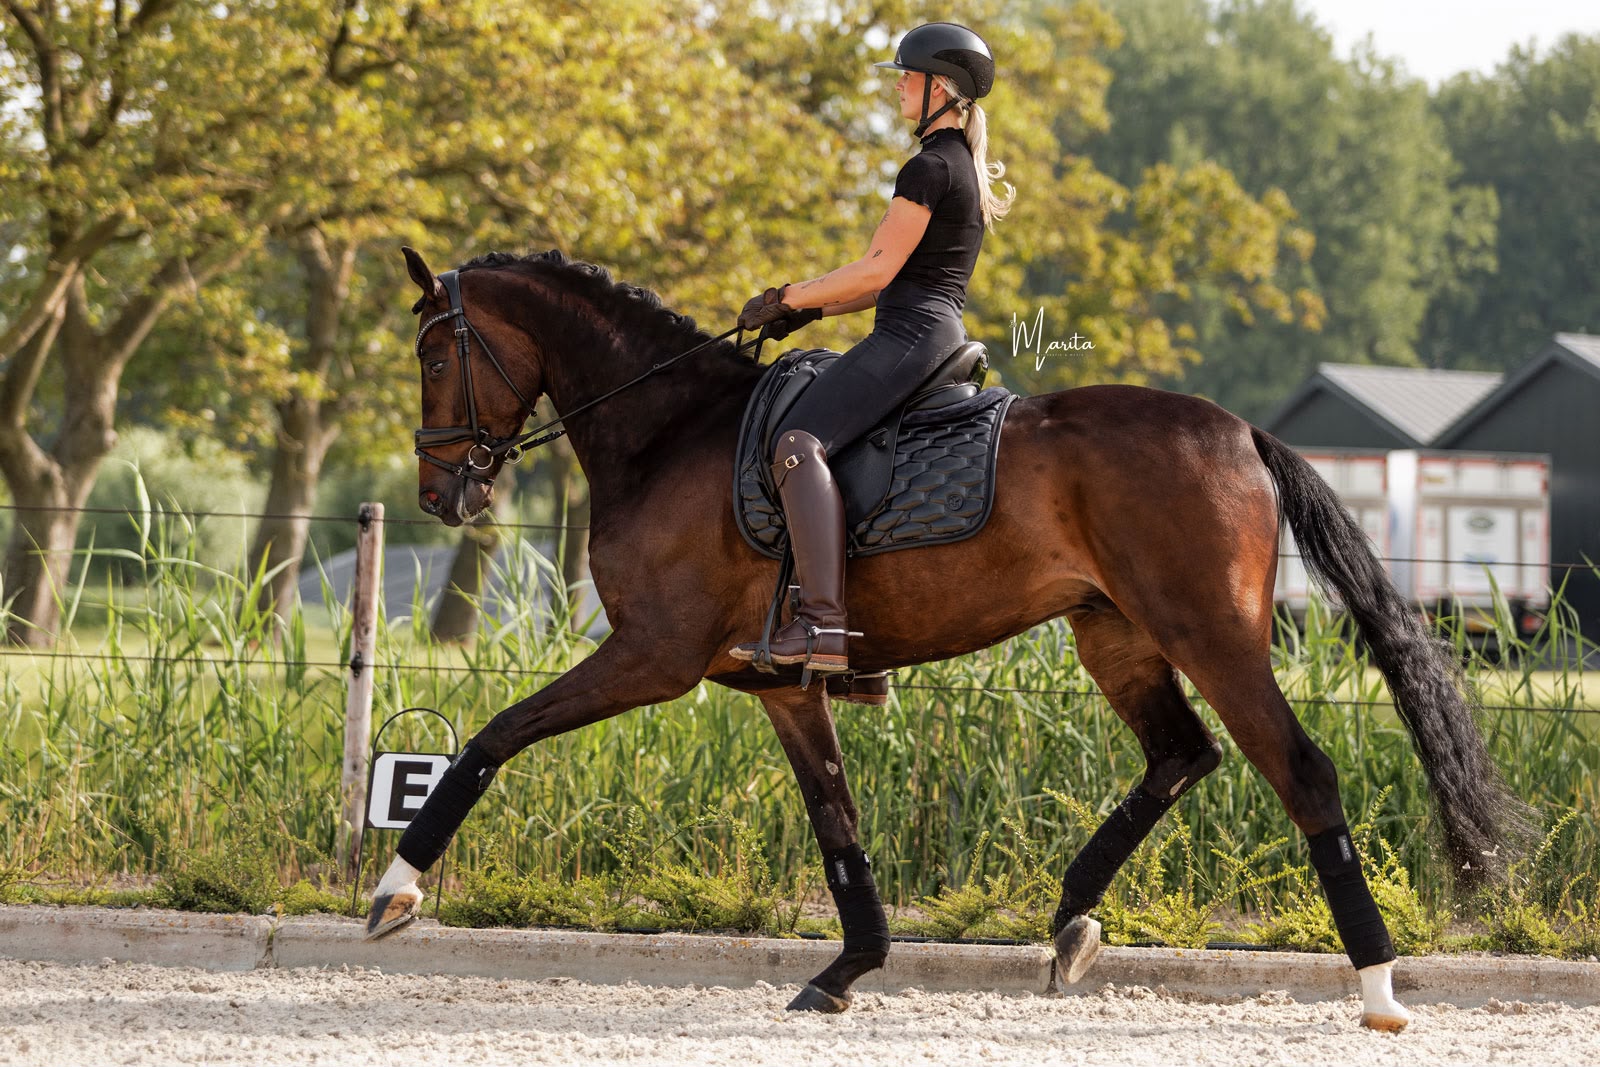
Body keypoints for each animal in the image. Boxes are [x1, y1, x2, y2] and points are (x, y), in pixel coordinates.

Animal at [368, 245, 1527, 1031]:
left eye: (431, 353)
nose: (439, 490)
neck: (668, 432)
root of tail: (1239, 429)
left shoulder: (651, 656)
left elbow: (492, 737)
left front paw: (396, 889)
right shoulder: (781, 684)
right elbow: (835, 822)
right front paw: (847, 968)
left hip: (1213, 634)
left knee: (1298, 769)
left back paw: (1377, 986)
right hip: (1116, 634)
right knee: (1181, 754)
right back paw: (1070, 918)